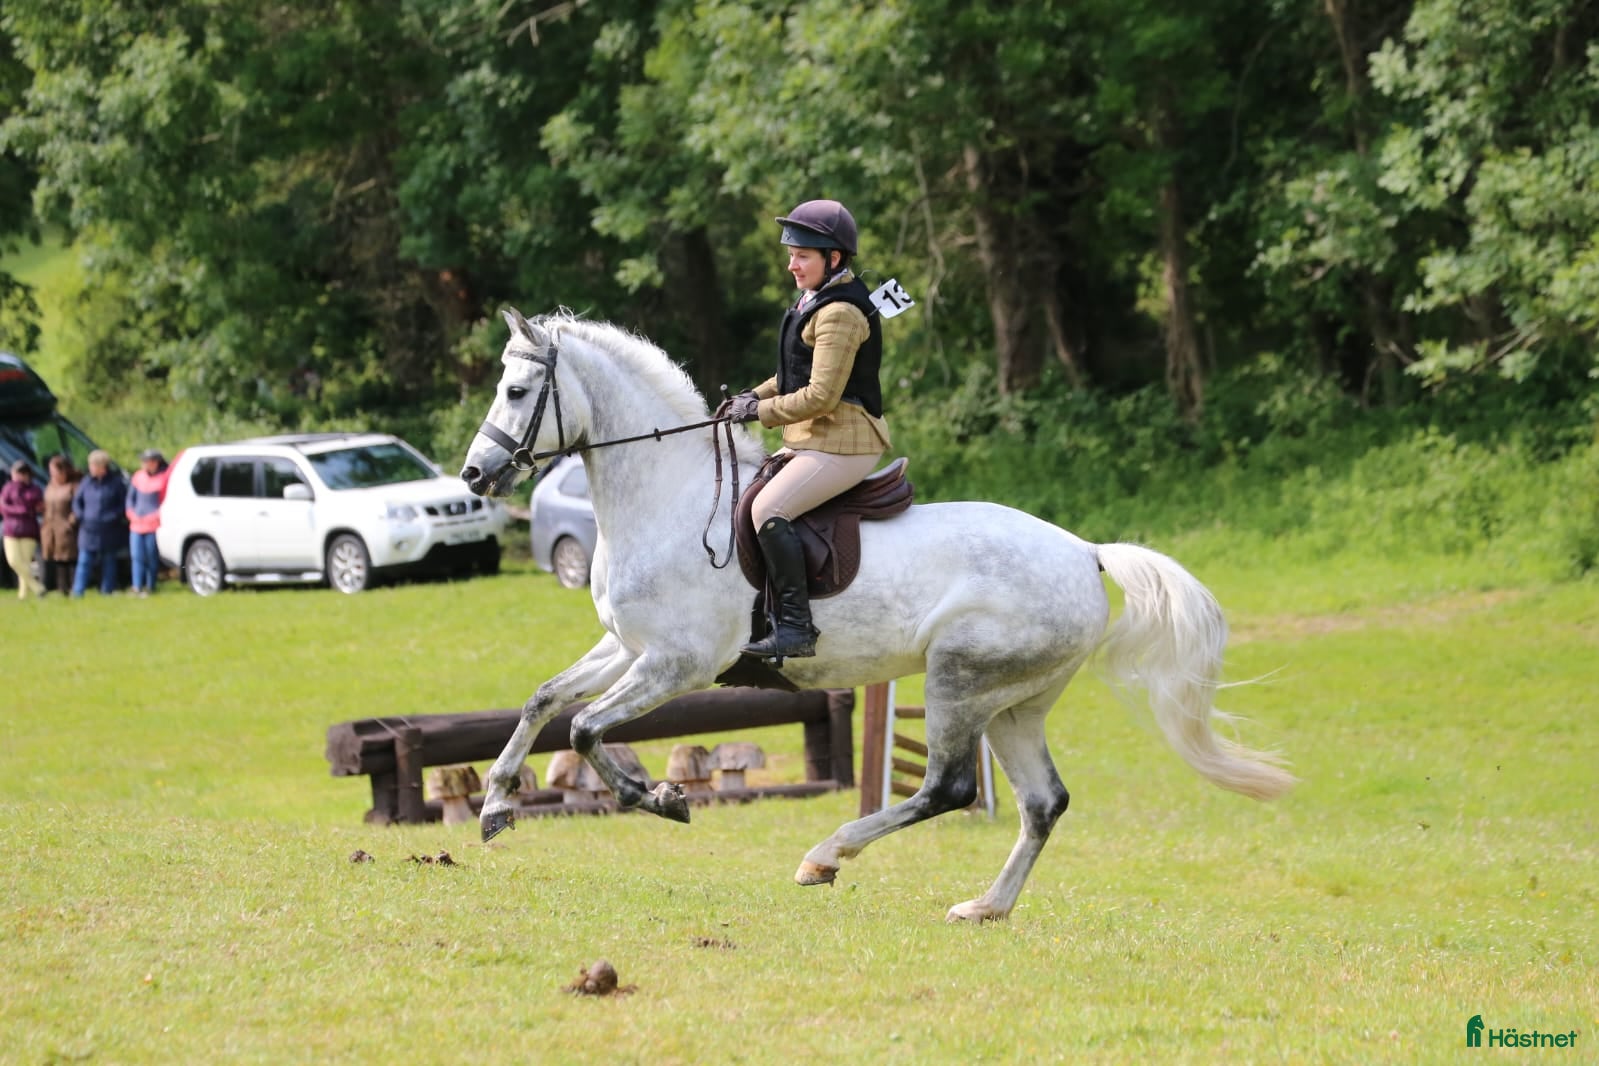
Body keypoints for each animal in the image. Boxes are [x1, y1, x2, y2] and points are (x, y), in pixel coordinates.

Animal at [459, 309, 1295, 922]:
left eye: (515, 391)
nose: (473, 474)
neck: (666, 496)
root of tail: (1085, 552)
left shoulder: (677, 662)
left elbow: (586, 728)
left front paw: (658, 801)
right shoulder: (626, 645)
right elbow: (543, 700)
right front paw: (497, 803)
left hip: (959, 677)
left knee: (950, 789)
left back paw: (825, 857)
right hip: (1015, 701)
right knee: (1041, 801)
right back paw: (985, 907)